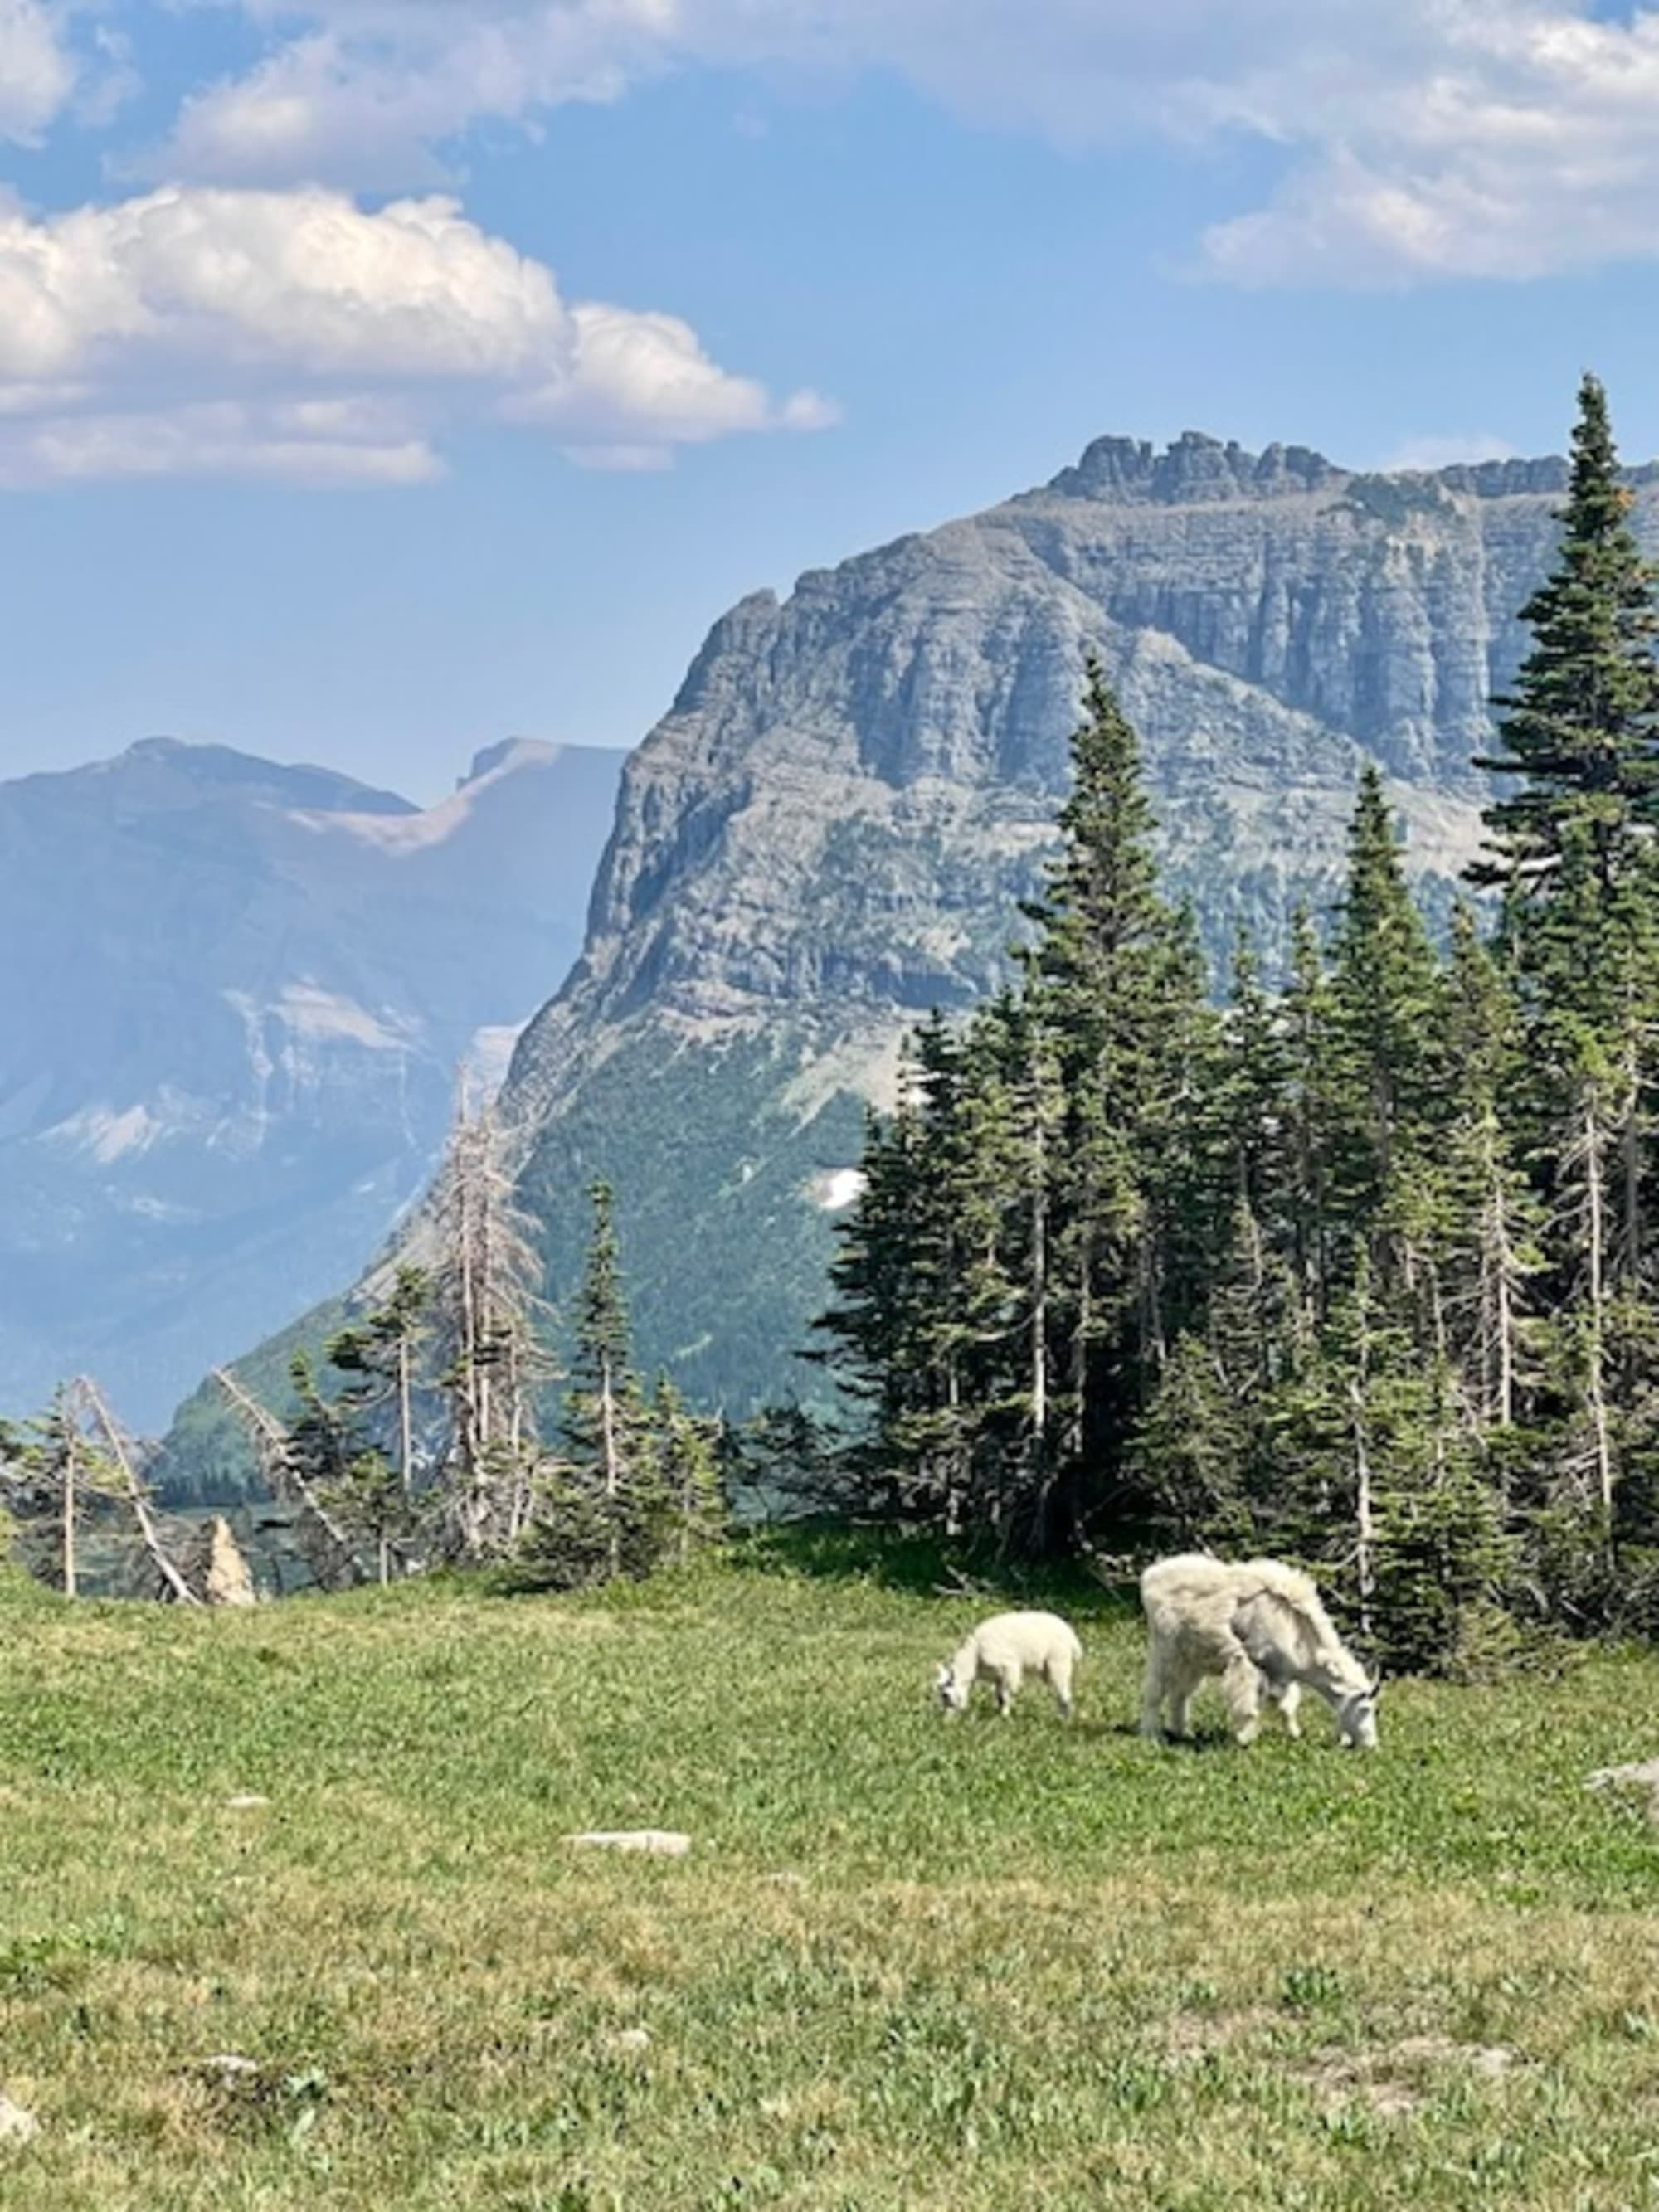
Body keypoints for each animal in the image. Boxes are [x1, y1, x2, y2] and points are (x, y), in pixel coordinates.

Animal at [937, 1610, 1092, 1725]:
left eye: (946, 1695)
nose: (946, 1720)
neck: (973, 1660)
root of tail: (1072, 1636)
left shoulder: (1009, 1667)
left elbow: (1006, 1696)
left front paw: (1004, 1717)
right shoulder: (998, 1676)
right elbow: (999, 1696)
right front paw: (1000, 1713)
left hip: (1058, 1661)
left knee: (1064, 1693)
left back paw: (1066, 1720)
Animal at [1141, 1557, 1380, 1743]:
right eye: (1365, 1708)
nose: (1370, 1745)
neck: (1296, 1634)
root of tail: (1149, 1577)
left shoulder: (1281, 1674)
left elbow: (1286, 1706)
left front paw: (1295, 1734)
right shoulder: (1250, 1663)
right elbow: (1249, 1703)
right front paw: (1244, 1739)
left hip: (1193, 1660)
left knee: (1180, 1694)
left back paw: (1183, 1732)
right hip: (1166, 1649)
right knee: (1155, 1690)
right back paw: (1152, 1734)